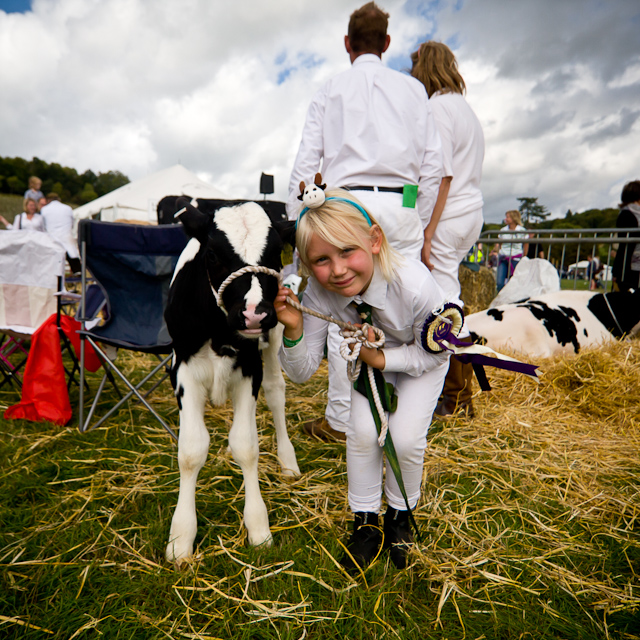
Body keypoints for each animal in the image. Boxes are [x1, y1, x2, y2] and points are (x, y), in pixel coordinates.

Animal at [162, 198, 298, 564]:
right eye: (212, 254)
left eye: (275, 252)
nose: (254, 314)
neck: (219, 331)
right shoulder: (182, 370)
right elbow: (191, 450)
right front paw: (181, 537)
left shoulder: (250, 368)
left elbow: (246, 446)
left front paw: (258, 527)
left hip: (275, 338)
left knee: (276, 393)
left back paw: (288, 460)